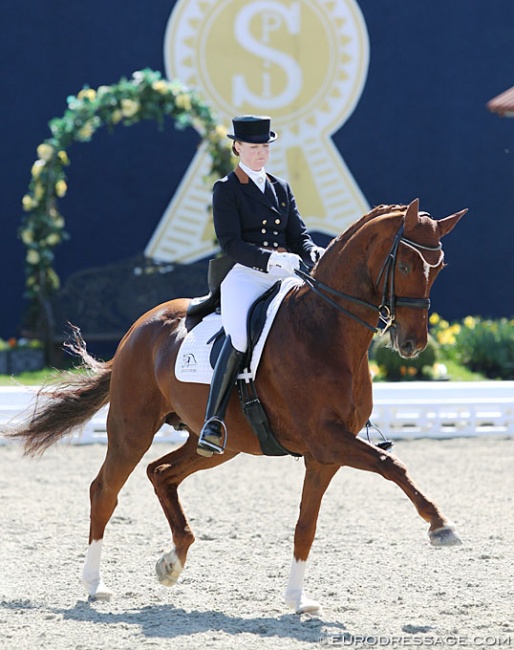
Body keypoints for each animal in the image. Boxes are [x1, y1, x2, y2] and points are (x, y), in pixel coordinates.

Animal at [8, 199, 464, 612]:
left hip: (220, 443)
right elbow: (392, 465)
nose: (413, 344)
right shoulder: (326, 439)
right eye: (405, 267)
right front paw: (441, 526)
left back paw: (173, 560)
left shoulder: (324, 455)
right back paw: (94, 585)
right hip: (132, 428)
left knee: (161, 473)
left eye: (440, 268)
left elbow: (306, 525)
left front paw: (297, 599)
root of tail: (138, 328)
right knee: (105, 490)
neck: (326, 330)